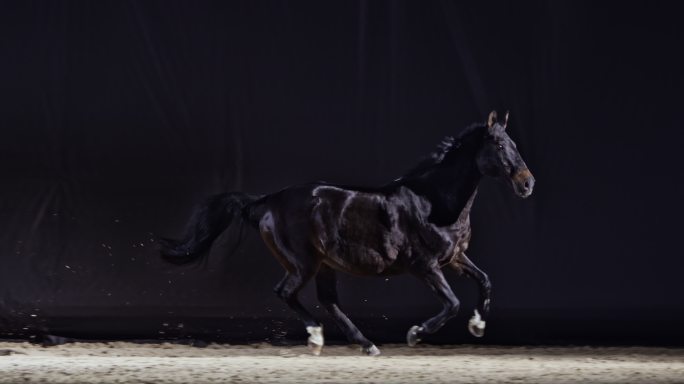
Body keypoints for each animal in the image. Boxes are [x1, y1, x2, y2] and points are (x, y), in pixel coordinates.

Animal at [159, 109, 536, 356]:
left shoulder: (454, 257)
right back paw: (317, 337)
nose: (527, 183)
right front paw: (415, 334)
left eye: (514, 144)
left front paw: (478, 326)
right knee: (286, 293)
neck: (432, 201)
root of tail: (267, 201)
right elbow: (452, 303)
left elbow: (485, 280)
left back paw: (367, 345)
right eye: (499, 145)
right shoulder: (425, 266)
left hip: (325, 265)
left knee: (328, 301)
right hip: (304, 263)